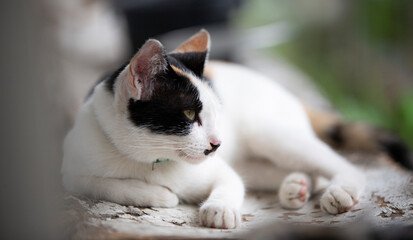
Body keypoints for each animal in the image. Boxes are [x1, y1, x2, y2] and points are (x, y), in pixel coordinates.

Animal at [61, 29, 364, 229]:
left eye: (216, 112)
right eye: (189, 114)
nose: (218, 144)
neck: (150, 160)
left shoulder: (221, 170)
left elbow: (232, 183)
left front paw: (218, 208)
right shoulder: (71, 163)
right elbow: (95, 183)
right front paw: (158, 194)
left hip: (269, 133)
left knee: (339, 164)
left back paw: (340, 192)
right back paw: (295, 187)